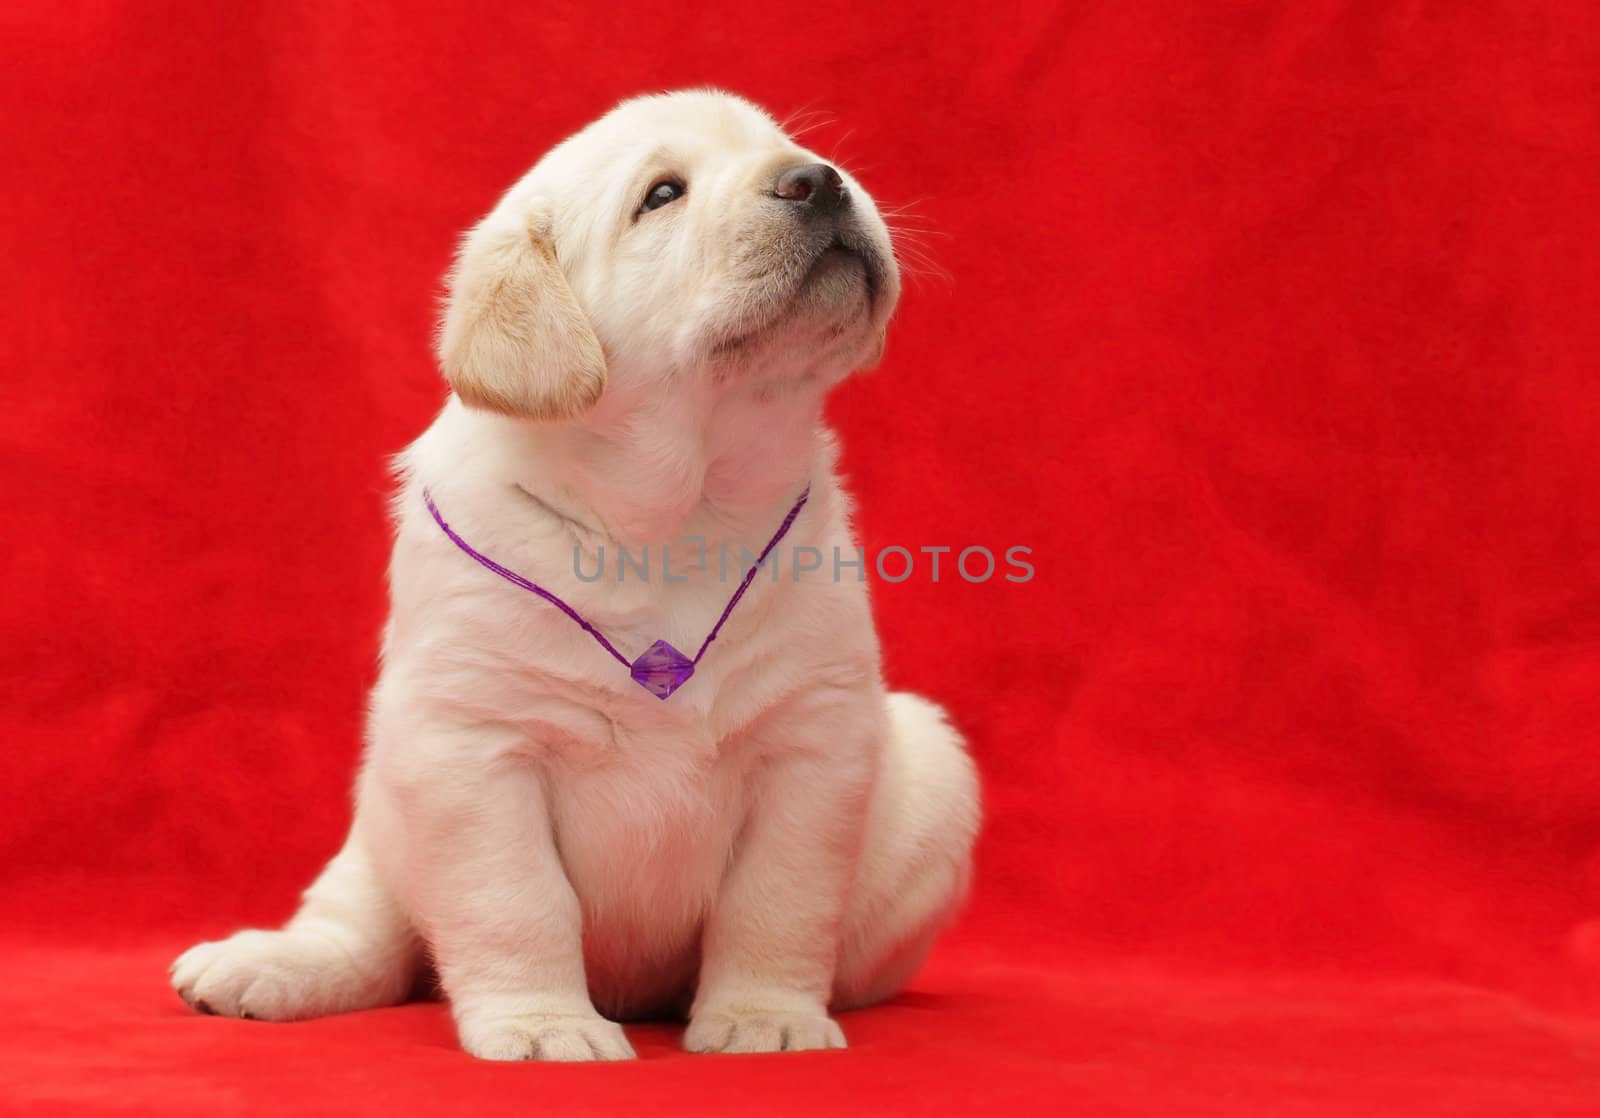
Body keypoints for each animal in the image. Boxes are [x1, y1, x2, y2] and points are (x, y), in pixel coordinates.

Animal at [172, 91, 972, 1062]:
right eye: (662, 195)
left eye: (786, 148)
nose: (820, 179)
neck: (676, 519)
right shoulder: (474, 745)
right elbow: (516, 899)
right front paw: (542, 1025)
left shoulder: (813, 741)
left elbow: (776, 901)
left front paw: (764, 1017)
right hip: (380, 808)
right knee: (367, 930)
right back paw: (264, 967)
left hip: (933, 765)